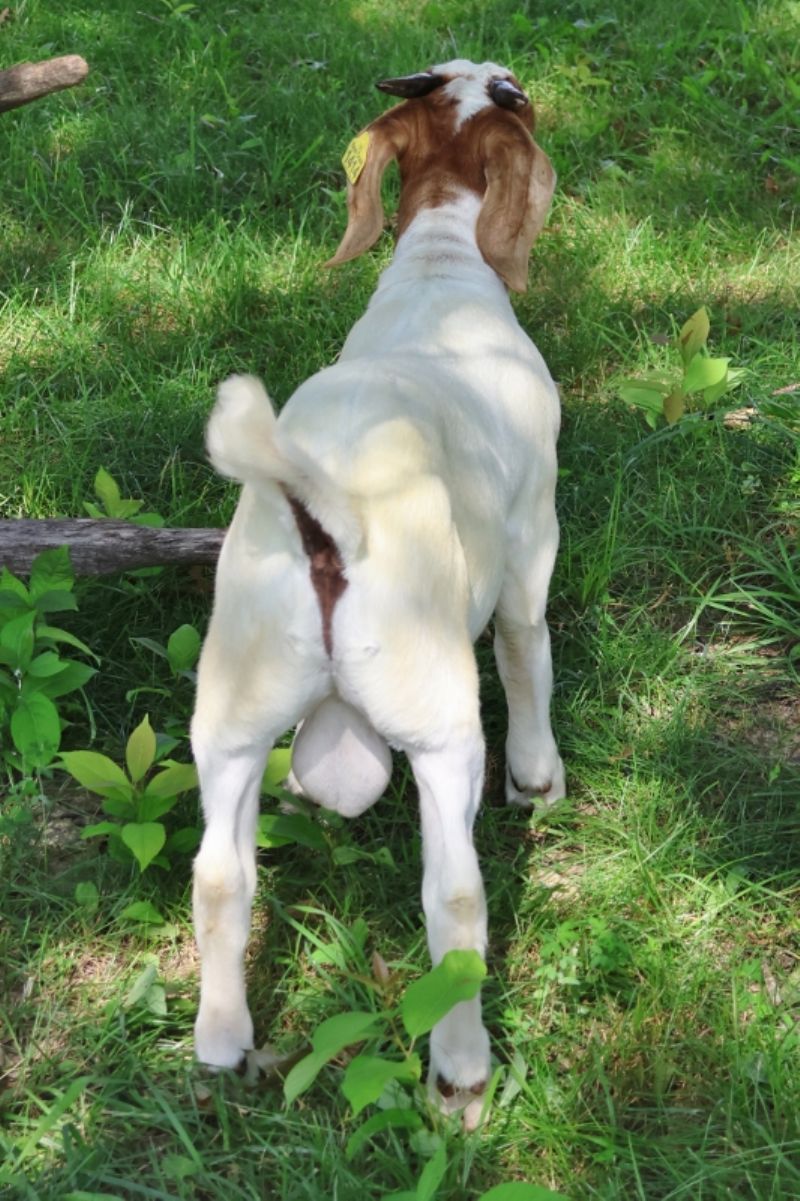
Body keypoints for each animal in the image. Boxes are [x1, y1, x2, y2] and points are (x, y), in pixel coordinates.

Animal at [191, 59, 565, 1126]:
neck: (441, 267)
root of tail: (327, 519)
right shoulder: (533, 533)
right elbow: (527, 650)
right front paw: (541, 779)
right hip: (439, 722)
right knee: (455, 902)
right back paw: (462, 1074)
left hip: (231, 709)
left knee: (220, 876)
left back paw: (222, 1042)